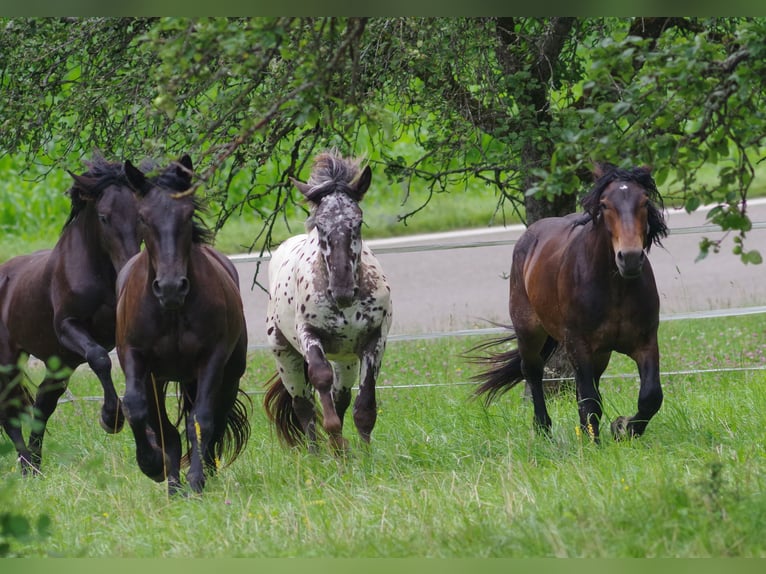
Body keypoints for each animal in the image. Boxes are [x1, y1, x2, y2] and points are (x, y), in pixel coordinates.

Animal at [0, 155, 140, 474]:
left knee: (42, 402)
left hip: (60, 362)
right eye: (104, 217)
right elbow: (100, 358)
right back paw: (26, 466)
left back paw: (36, 465)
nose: (129, 267)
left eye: (139, 214)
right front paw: (111, 418)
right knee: (9, 411)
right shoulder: (67, 326)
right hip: (9, 361)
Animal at [115, 156, 250, 496]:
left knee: (214, 419)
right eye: (143, 217)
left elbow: (201, 419)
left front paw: (197, 480)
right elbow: (137, 408)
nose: (171, 287)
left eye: (188, 214)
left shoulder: (211, 360)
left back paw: (204, 472)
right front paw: (153, 466)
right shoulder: (136, 358)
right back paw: (173, 484)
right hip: (159, 377)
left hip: (229, 375)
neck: (172, 313)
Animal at [266, 153, 396, 454]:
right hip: (284, 355)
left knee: (340, 397)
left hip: (345, 360)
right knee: (303, 405)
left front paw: (365, 454)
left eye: (357, 222)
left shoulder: (374, 339)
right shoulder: (309, 335)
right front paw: (336, 440)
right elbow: (320, 378)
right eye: (320, 224)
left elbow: (364, 405)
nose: (342, 290)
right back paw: (316, 455)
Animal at [474, 164, 672, 444]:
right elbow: (590, 400)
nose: (630, 258)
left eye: (644, 201)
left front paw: (623, 428)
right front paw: (596, 444)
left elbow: (650, 396)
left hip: (600, 353)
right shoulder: (579, 345)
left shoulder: (645, 342)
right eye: (604, 204)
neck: (615, 288)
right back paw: (543, 428)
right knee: (532, 371)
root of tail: (528, 237)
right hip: (529, 331)